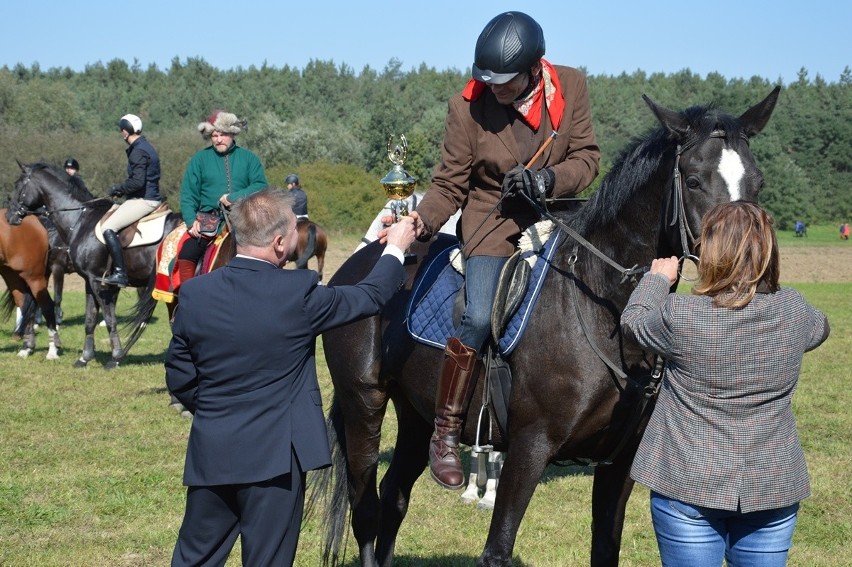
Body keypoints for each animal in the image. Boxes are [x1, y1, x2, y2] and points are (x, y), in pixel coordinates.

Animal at [0, 209, 59, 360]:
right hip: (12, 275)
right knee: (24, 305)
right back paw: (26, 348)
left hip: (34, 278)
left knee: (47, 306)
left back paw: (52, 351)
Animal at [6, 162, 183, 370]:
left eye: (18, 185)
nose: (9, 216)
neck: (79, 220)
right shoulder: (89, 280)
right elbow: (90, 319)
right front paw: (85, 357)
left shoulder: (95, 280)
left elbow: (108, 318)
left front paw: (115, 357)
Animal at [312, 86, 780, 564]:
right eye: (694, 180)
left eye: (758, 182)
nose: (751, 272)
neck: (602, 308)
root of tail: (365, 260)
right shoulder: (530, 447)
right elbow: (496, 549)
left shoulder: (620, 462)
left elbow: (604, 547)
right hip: (364, 403)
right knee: (366, 508)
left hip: (416, 414)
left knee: (394, 498)